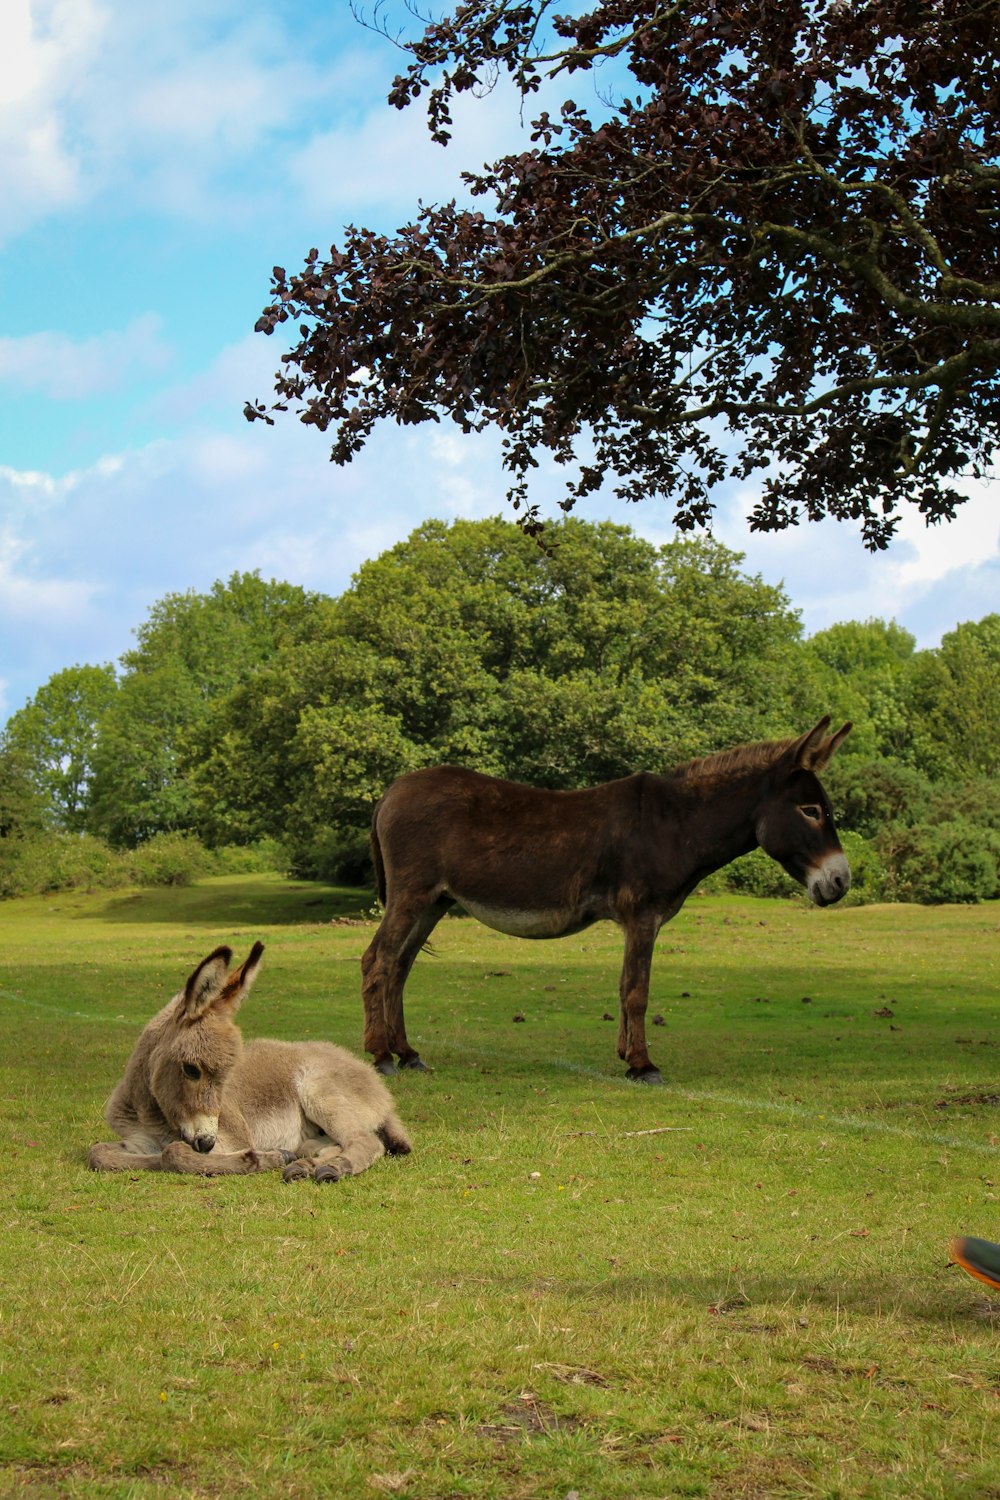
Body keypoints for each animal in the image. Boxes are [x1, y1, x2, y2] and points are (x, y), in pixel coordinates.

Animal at [88, 936, 410, 1182]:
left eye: (227, 1074)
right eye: (191, 1070)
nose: (206, 1142)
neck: (150, 1114)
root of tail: (371, 1077)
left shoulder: (231, 1139)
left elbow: (174, 1152)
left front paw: (261, 1159)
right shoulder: (137, 1140)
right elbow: (98, 1153)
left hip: (320, 1092)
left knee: (365, 1141)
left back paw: (327, 1167)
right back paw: (307, 1161)